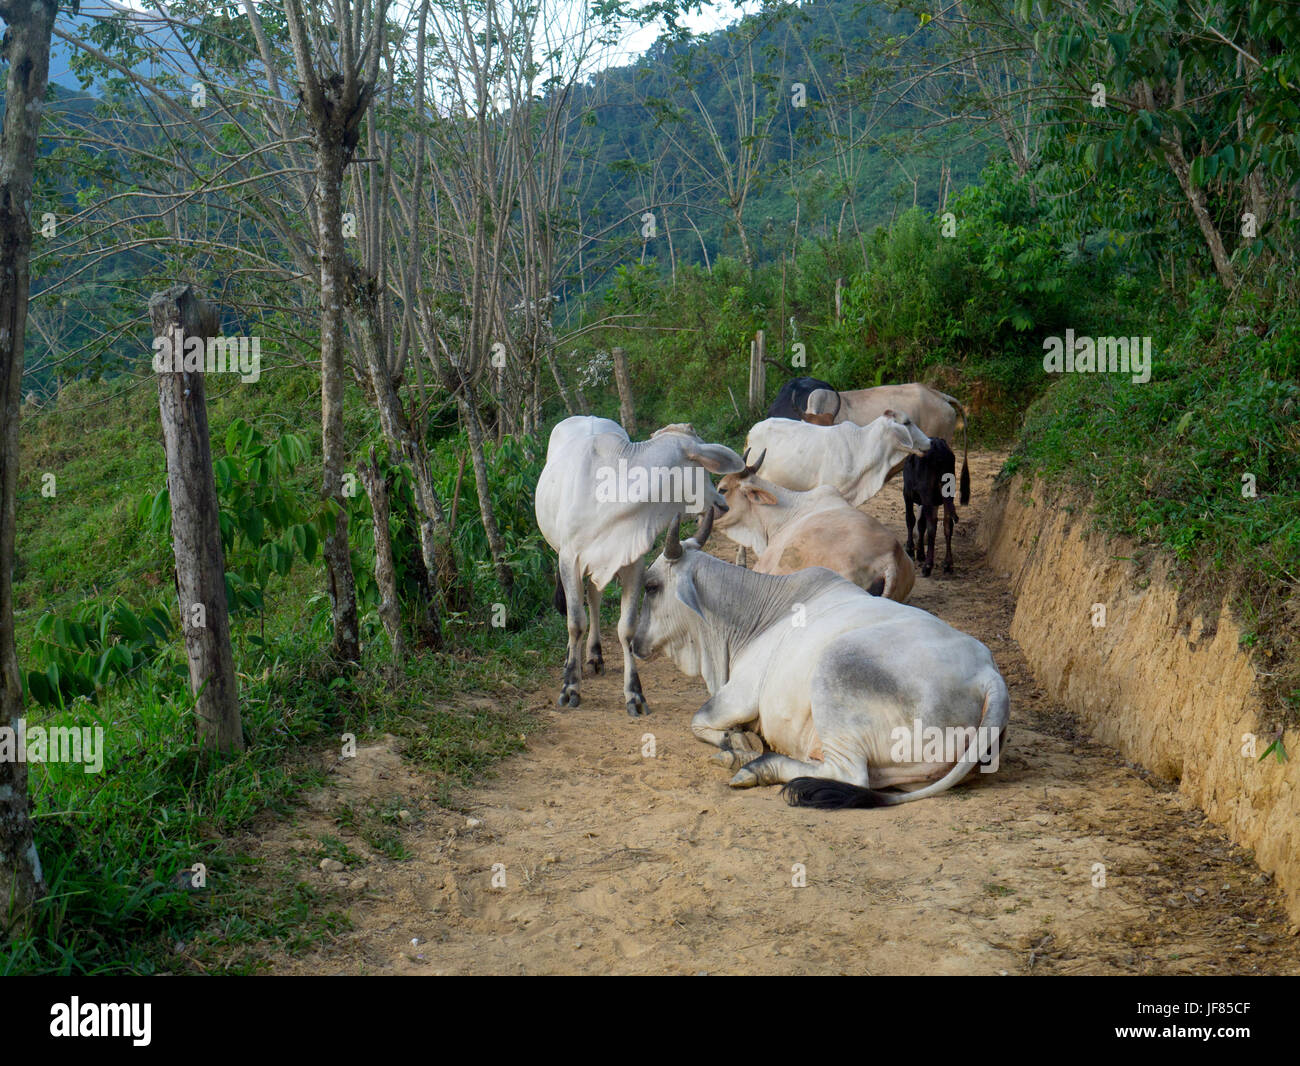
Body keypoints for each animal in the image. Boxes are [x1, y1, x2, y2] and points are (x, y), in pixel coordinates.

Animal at [631, 512, 1013, 806]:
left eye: (651, 587)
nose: (634, 642)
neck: (756, 617)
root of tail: (987, 676)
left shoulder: (739, 694)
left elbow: (699, 721)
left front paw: (738, 745)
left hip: (836, 669)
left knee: (850, 775)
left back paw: (759, 766)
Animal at [899, 439, 961, 579]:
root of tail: (939, 448)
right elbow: (921, 524)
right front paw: (920, 553)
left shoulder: (907, 493)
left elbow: (910, 519)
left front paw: (910, 550)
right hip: (947, 494)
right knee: (947, 525)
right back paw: (948, 564)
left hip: (927, 494)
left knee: (932, 525)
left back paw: (928, 566)